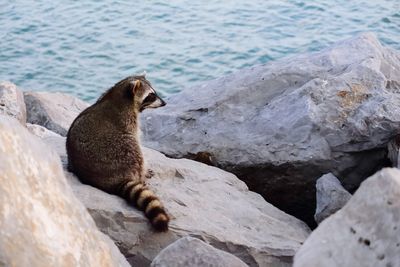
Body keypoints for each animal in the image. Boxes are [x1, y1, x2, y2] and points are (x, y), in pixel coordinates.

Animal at [66, 75, 170, 232]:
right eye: (151, 95)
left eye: (154, 92)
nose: (164, 103)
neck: (119, 95)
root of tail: (111, 180)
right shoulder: (127, 121)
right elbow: (137, 138)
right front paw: (145, 171)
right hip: (120, 150)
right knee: (135, 151)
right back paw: (141, 176)